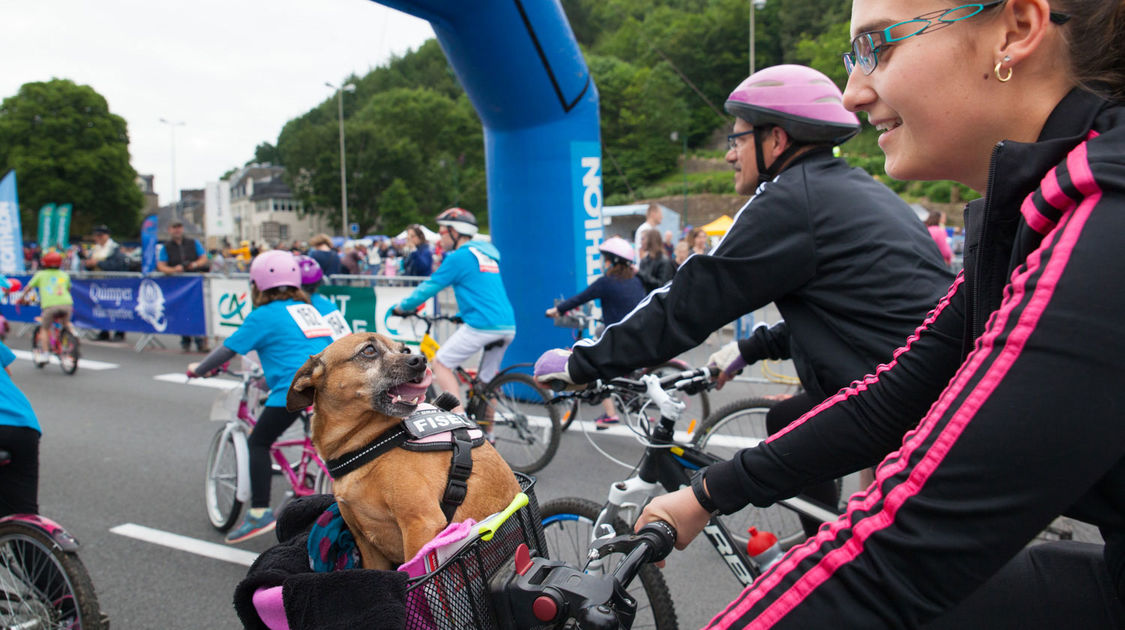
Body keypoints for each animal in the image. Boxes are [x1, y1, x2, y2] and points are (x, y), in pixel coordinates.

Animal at [288, 335, 519, 571]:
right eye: (368, 350)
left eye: (404, 349)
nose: (421, 360)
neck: (366, 442)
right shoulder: (366, 545)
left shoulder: (421, 527)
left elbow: (412, 576)